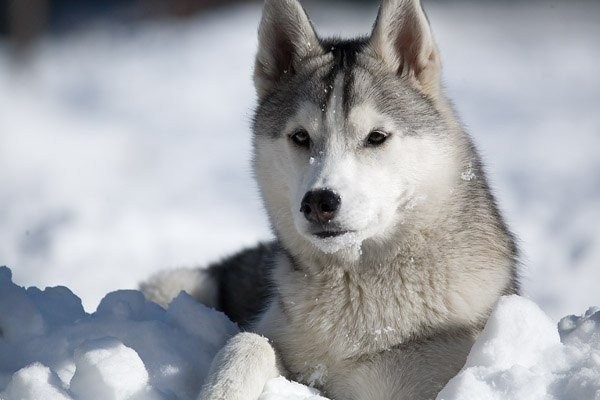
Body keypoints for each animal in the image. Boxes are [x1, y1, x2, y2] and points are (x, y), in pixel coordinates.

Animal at [141, 0, 520, 398]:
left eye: (376, 137)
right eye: (300, 137)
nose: (319, 202)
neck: (359, 290)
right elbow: (249, 342)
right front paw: (221, 390)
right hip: (173, 283)